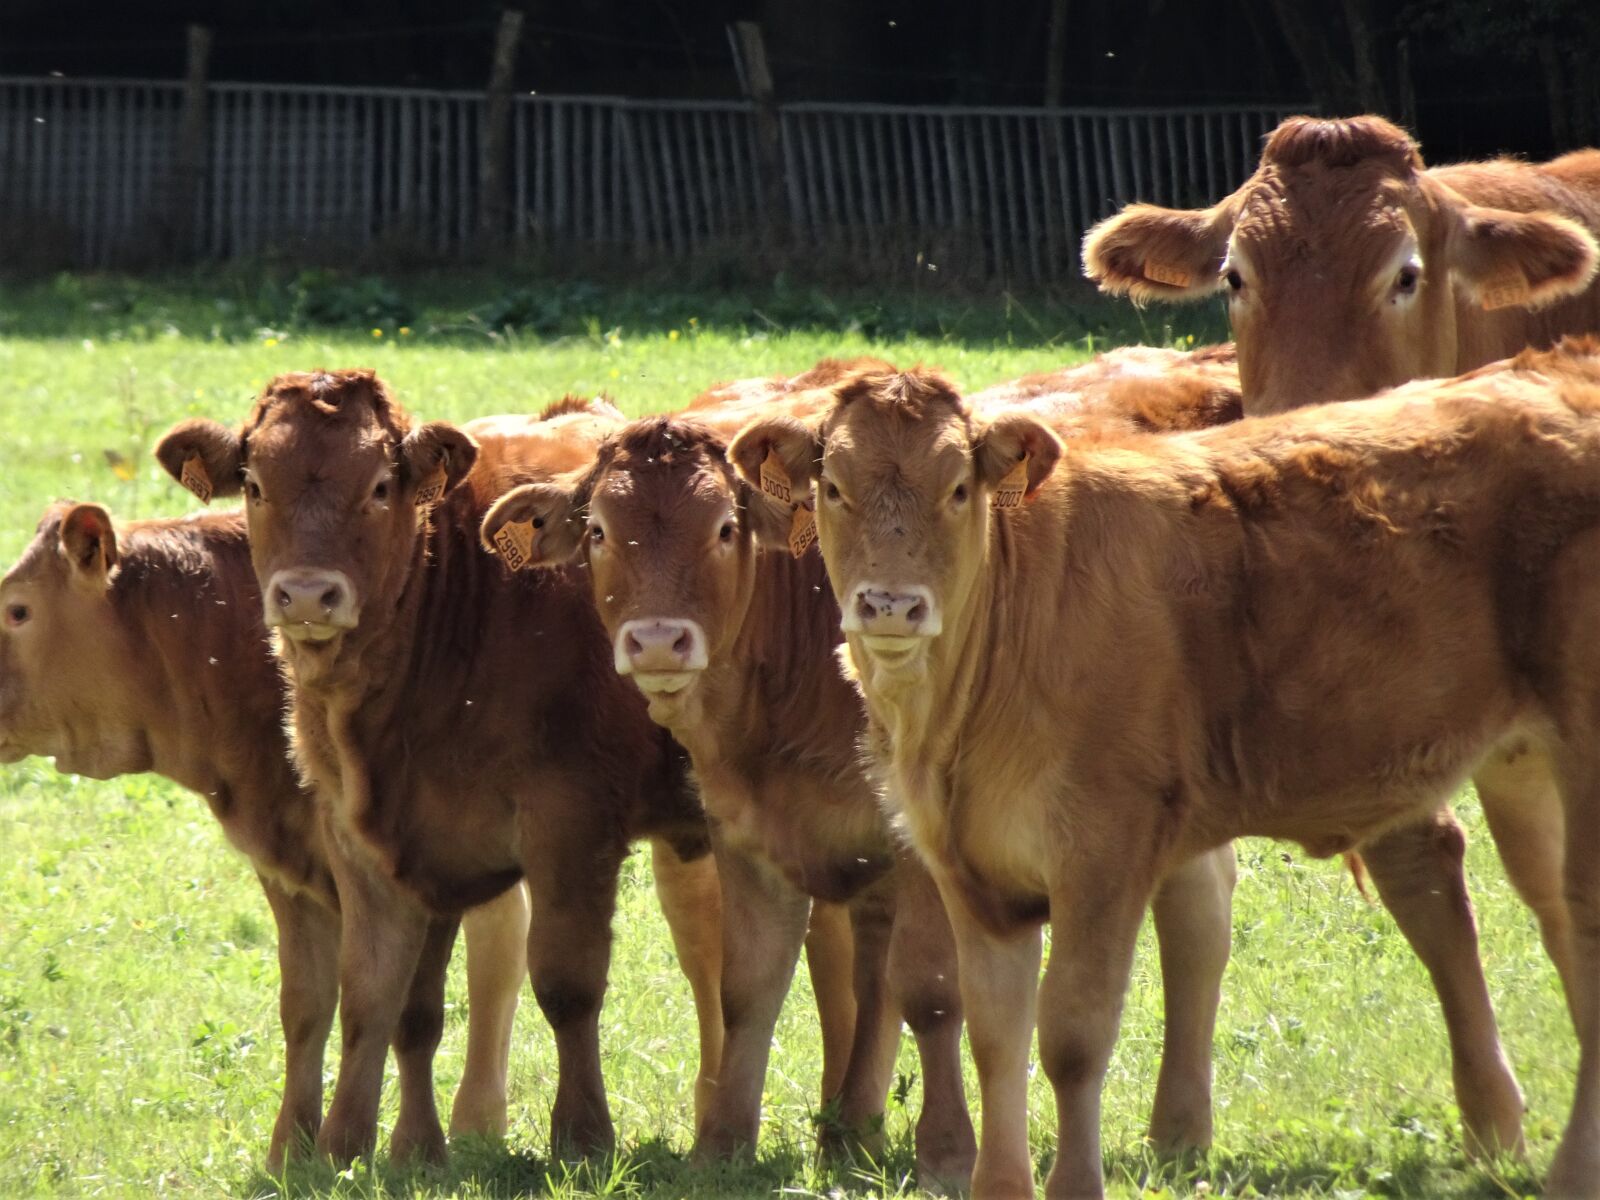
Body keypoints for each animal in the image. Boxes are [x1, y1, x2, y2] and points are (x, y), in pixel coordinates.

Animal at [0, 501, 529, 1168]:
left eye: (17, 609)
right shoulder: (289, 865)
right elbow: (305, 1004)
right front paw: (291, 1152)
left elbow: (399, 1005)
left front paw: (393, 1150)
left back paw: (477, 1120)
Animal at [152, 378, 725, 1166]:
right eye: (256, 486)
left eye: (379, 486)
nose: (307, 595)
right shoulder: (371, 836)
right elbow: (382, 997)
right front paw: (368, 1147)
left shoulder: (571, 822)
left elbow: (566, 982)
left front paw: (582, 1137)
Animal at [728, 348, 1600, 1198]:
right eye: (833, 487)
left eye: (958, 488)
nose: (889, 606)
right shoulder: (973, 870)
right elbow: (996, 1035)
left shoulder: (1103, 851)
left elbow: (1072, 1033)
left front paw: (1074, 1184)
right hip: (1523, 764)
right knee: (1551, 916)